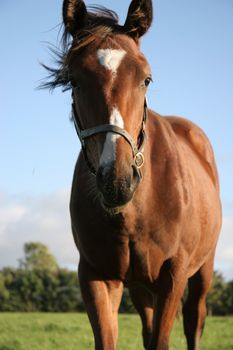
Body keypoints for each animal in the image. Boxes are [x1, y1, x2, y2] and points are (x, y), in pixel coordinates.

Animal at [44, 0, 221, 350]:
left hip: (202, 271)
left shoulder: (173, 274)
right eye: (75, 81)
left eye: (146, 79)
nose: (117, 181)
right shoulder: (96, 275)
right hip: (141, 287)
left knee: (194, 320)